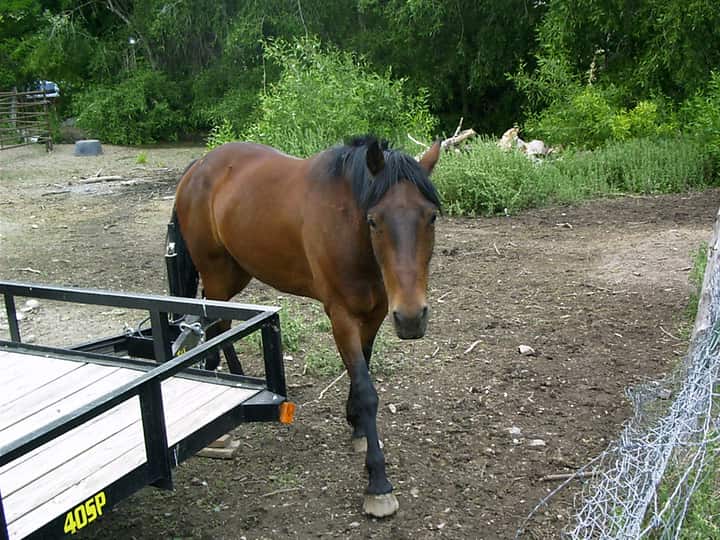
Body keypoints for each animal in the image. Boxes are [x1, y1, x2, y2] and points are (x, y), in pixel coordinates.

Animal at [169, 135, 441, 517]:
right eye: (374, 221)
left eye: (431, 217)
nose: (412, 316)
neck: (348, 226)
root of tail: (200, 166)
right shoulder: (341, 316)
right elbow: (367, 389)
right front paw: (377, 482)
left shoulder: (375, 312)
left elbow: (362, 373)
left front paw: (357, 427)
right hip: (217, 272)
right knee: (214, 322)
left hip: (235, 272)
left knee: (219, 321)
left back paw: (235, 378)